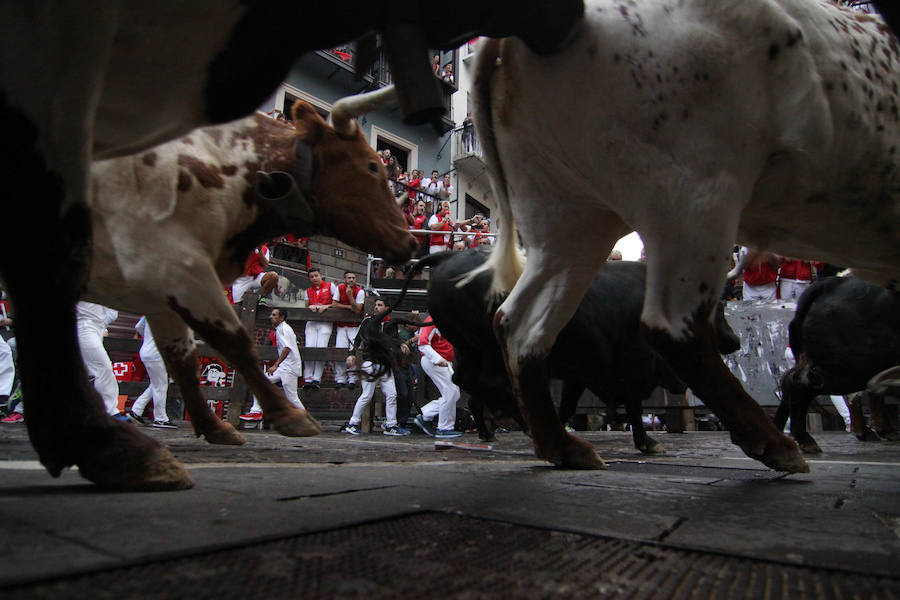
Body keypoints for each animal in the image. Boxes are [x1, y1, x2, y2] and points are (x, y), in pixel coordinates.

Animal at [400, 247, 740, 450]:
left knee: (468, 383)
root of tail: (448, 257)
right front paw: (646, 443)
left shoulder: (583, 371)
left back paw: (496, 430)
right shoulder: (628, 365)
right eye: (717, 310)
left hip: (468, 347)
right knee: (491, 385)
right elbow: (632, 403)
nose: (734, 341)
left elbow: (569, 404)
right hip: (490, 348)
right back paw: (525, 426)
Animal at [474, 1, 896, 474]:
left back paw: (564, 447)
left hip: (571, 221)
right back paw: (776, 444)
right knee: (676, 330)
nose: (735, 342)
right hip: (697, 199)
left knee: (520, 324)